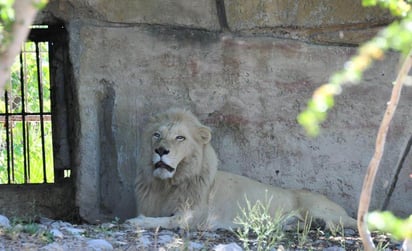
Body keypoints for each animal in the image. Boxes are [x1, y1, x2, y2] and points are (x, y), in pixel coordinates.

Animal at [127, 109, 356, 230]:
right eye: (157, 135)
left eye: (180, 137)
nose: (160, 150)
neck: (167, 184)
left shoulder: (194, 216)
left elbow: (168, 220)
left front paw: (137, 221)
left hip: (316, 208)